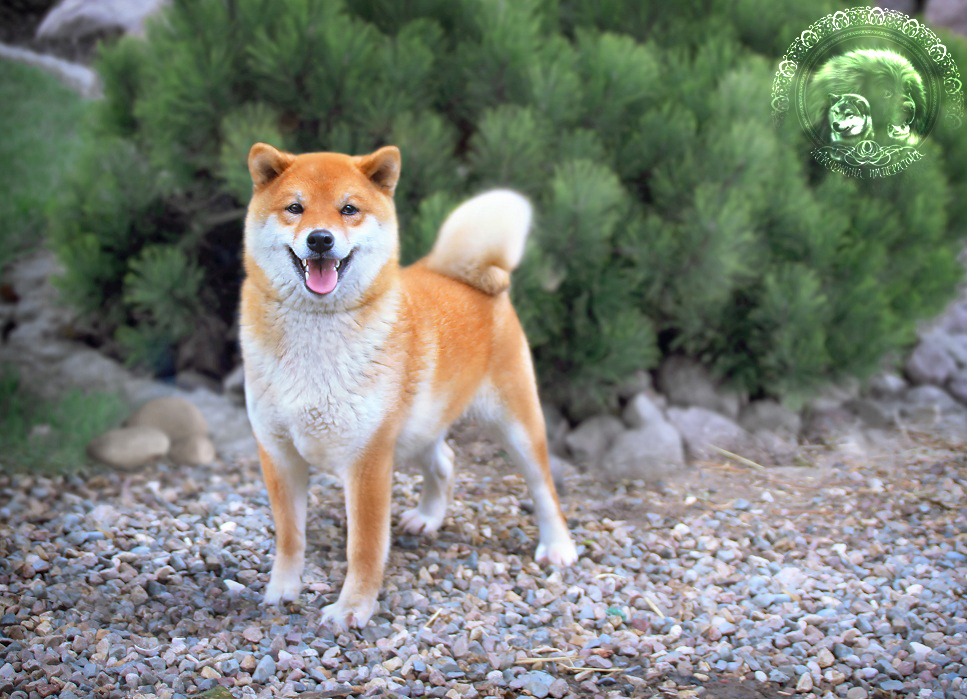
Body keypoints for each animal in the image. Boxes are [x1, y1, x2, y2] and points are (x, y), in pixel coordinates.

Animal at [239, 145, 580, 632]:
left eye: (349, 209)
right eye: (295, 208)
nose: (320, 239)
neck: (317, 339)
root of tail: (473, 277)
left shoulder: (367, 460)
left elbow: (363, 548)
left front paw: (352, 609)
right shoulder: (279, 453)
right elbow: (290, 537)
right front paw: (282, 590)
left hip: (513, 424)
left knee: (543, 487)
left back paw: (558, 546)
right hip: (418, 425)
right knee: (445, 462)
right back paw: (428, 516)